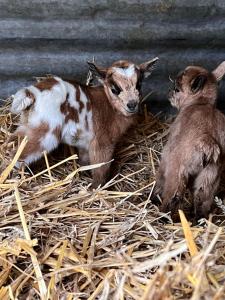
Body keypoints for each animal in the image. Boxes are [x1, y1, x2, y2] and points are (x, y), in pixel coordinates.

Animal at [157, 61, 225, 218]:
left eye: (177, 88)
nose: (168, 92)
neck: (200, 103)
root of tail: (207, 140)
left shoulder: (167, 156)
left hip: (178, 173)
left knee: (173, 197)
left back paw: (163, 217)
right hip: (210, 177)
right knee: (202, 200)